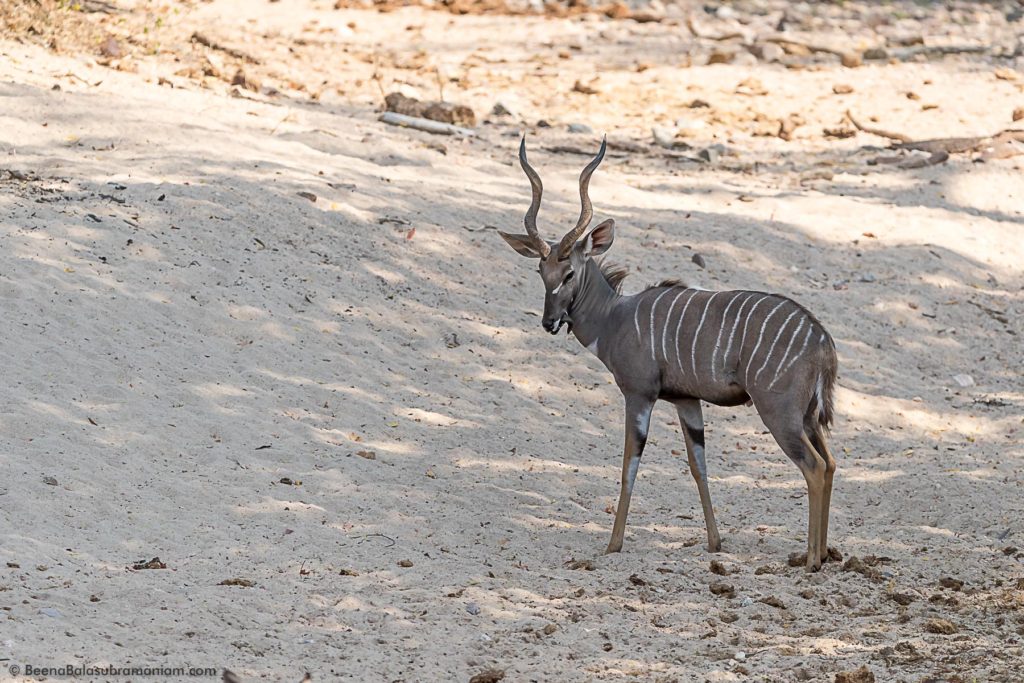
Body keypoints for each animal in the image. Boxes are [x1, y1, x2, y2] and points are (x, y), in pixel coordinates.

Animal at [497, 137, 839, 573]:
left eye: (569, 272)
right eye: (541, 272)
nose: (549, 322)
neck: (615, 318)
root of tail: (822, 340)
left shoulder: (639, 395)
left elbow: (629, 465)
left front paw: (613, 545)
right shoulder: (685, 400)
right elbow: (698, 466)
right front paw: (714, 543)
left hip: (780, 413)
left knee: (814, 466)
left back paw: (811, 560)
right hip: (807, 416)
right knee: (830, 464)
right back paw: (823, 554)